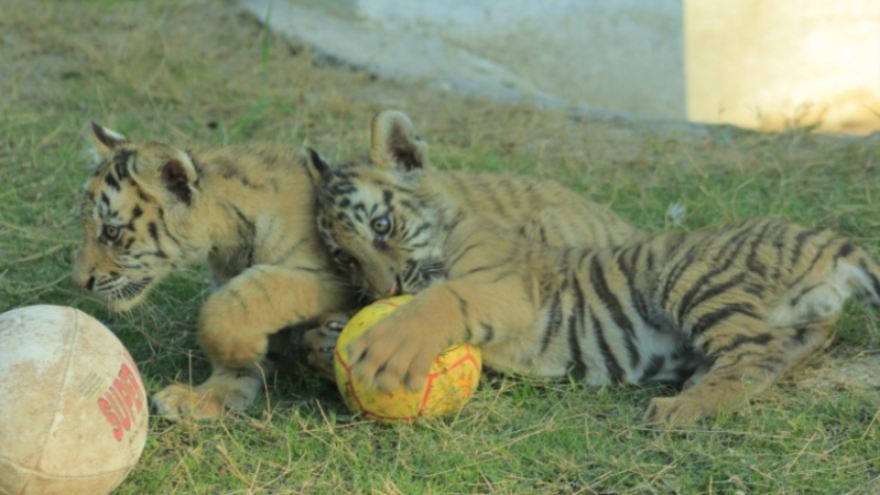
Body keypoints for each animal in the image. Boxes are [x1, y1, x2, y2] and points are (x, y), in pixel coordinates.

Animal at [73, 123, 352, 420]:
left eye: (111, 232)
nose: (79, 283)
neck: (228, 238)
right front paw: (206, 395)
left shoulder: (332, 277)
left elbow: (247, 295)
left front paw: (241, 351)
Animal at [303, 142, 880, 427]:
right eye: (344, 258)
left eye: (381, 227)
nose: (384, 292)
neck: (453, 224)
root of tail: (821, 239)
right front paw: (322, 338)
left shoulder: (507, 283)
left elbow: (445, 297)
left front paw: (387, 344)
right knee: (788, 345)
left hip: (688, 276)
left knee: (757, 355)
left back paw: (681, 409)